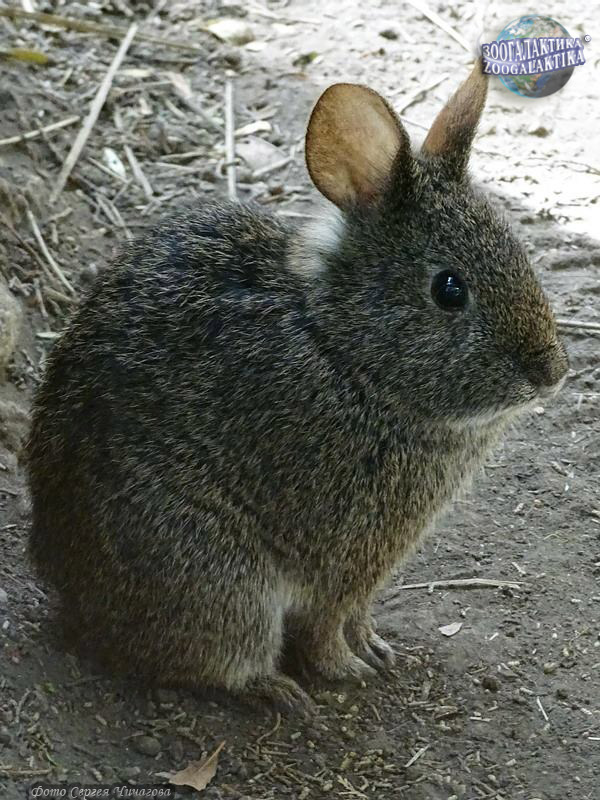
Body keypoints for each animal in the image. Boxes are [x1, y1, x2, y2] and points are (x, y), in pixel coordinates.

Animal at [27, 60, 568, 712]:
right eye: (449, 289)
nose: (552, 373)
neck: (344, 351)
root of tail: (72, 598)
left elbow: (356, 616)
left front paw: (376, 648)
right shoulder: (338, 560)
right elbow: (324, 625)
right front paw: (346, 668)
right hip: (221, 576)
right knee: (219, 656)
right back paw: (277, 690)